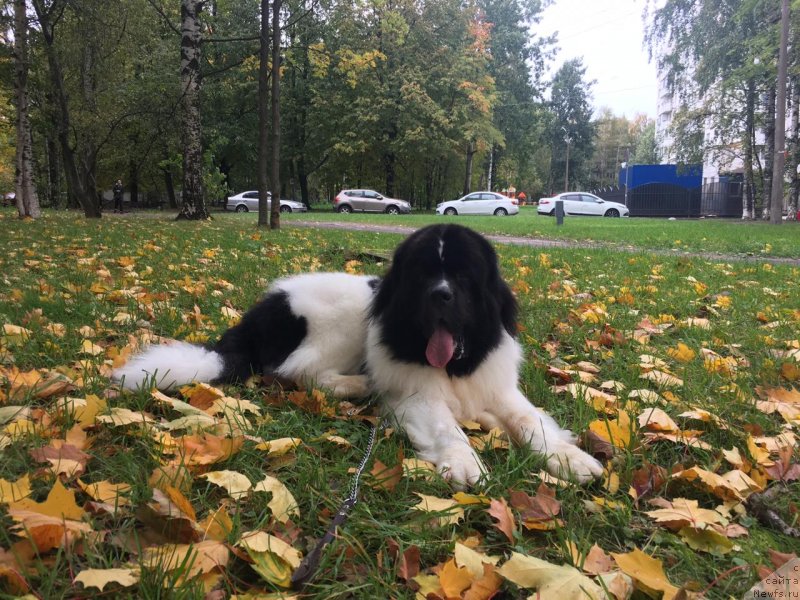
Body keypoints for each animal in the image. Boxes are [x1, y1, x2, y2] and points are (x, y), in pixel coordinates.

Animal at [112, 225, 600, 488]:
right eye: (424, 274)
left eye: (464, 276)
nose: (440, 296)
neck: (454, 364)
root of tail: (264, 308)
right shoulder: (416, 396)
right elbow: (448, 427)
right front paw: (464, 463)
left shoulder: (495, 388)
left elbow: (529, 420)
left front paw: (569, 458)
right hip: (344, 318)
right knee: (295, 371)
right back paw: (358, 385)